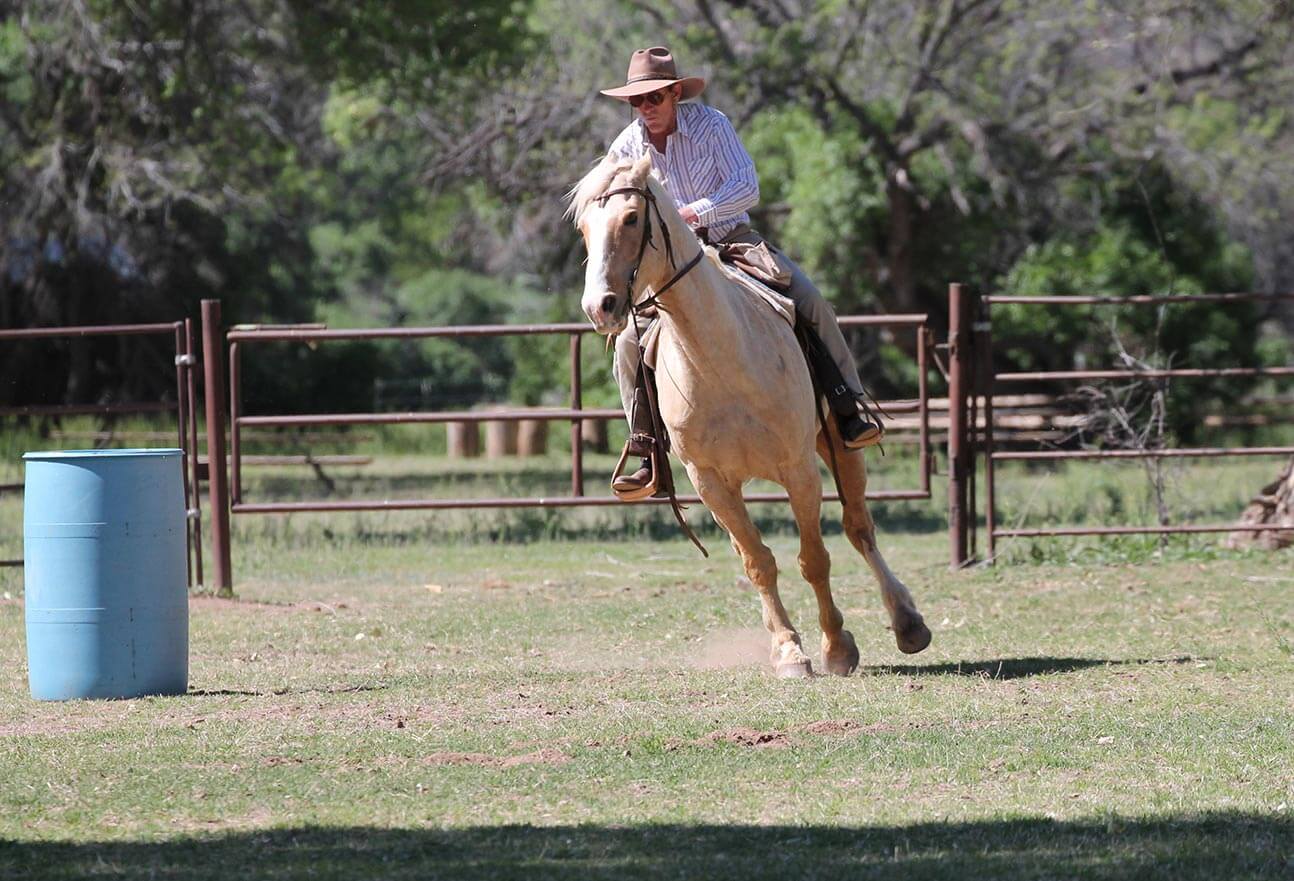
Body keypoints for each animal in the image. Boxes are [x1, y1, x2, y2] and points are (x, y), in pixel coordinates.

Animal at [567, 153, 931, 677]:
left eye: (632, 218)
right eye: (584, 229)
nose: (600, 307)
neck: (721, 360)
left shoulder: (799, 470)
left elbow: (814, 559)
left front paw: (836, 647)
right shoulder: (710, 483)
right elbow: (758, 562)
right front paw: (789, 651)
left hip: (842, 447)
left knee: (859, 529)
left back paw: (908, 623)